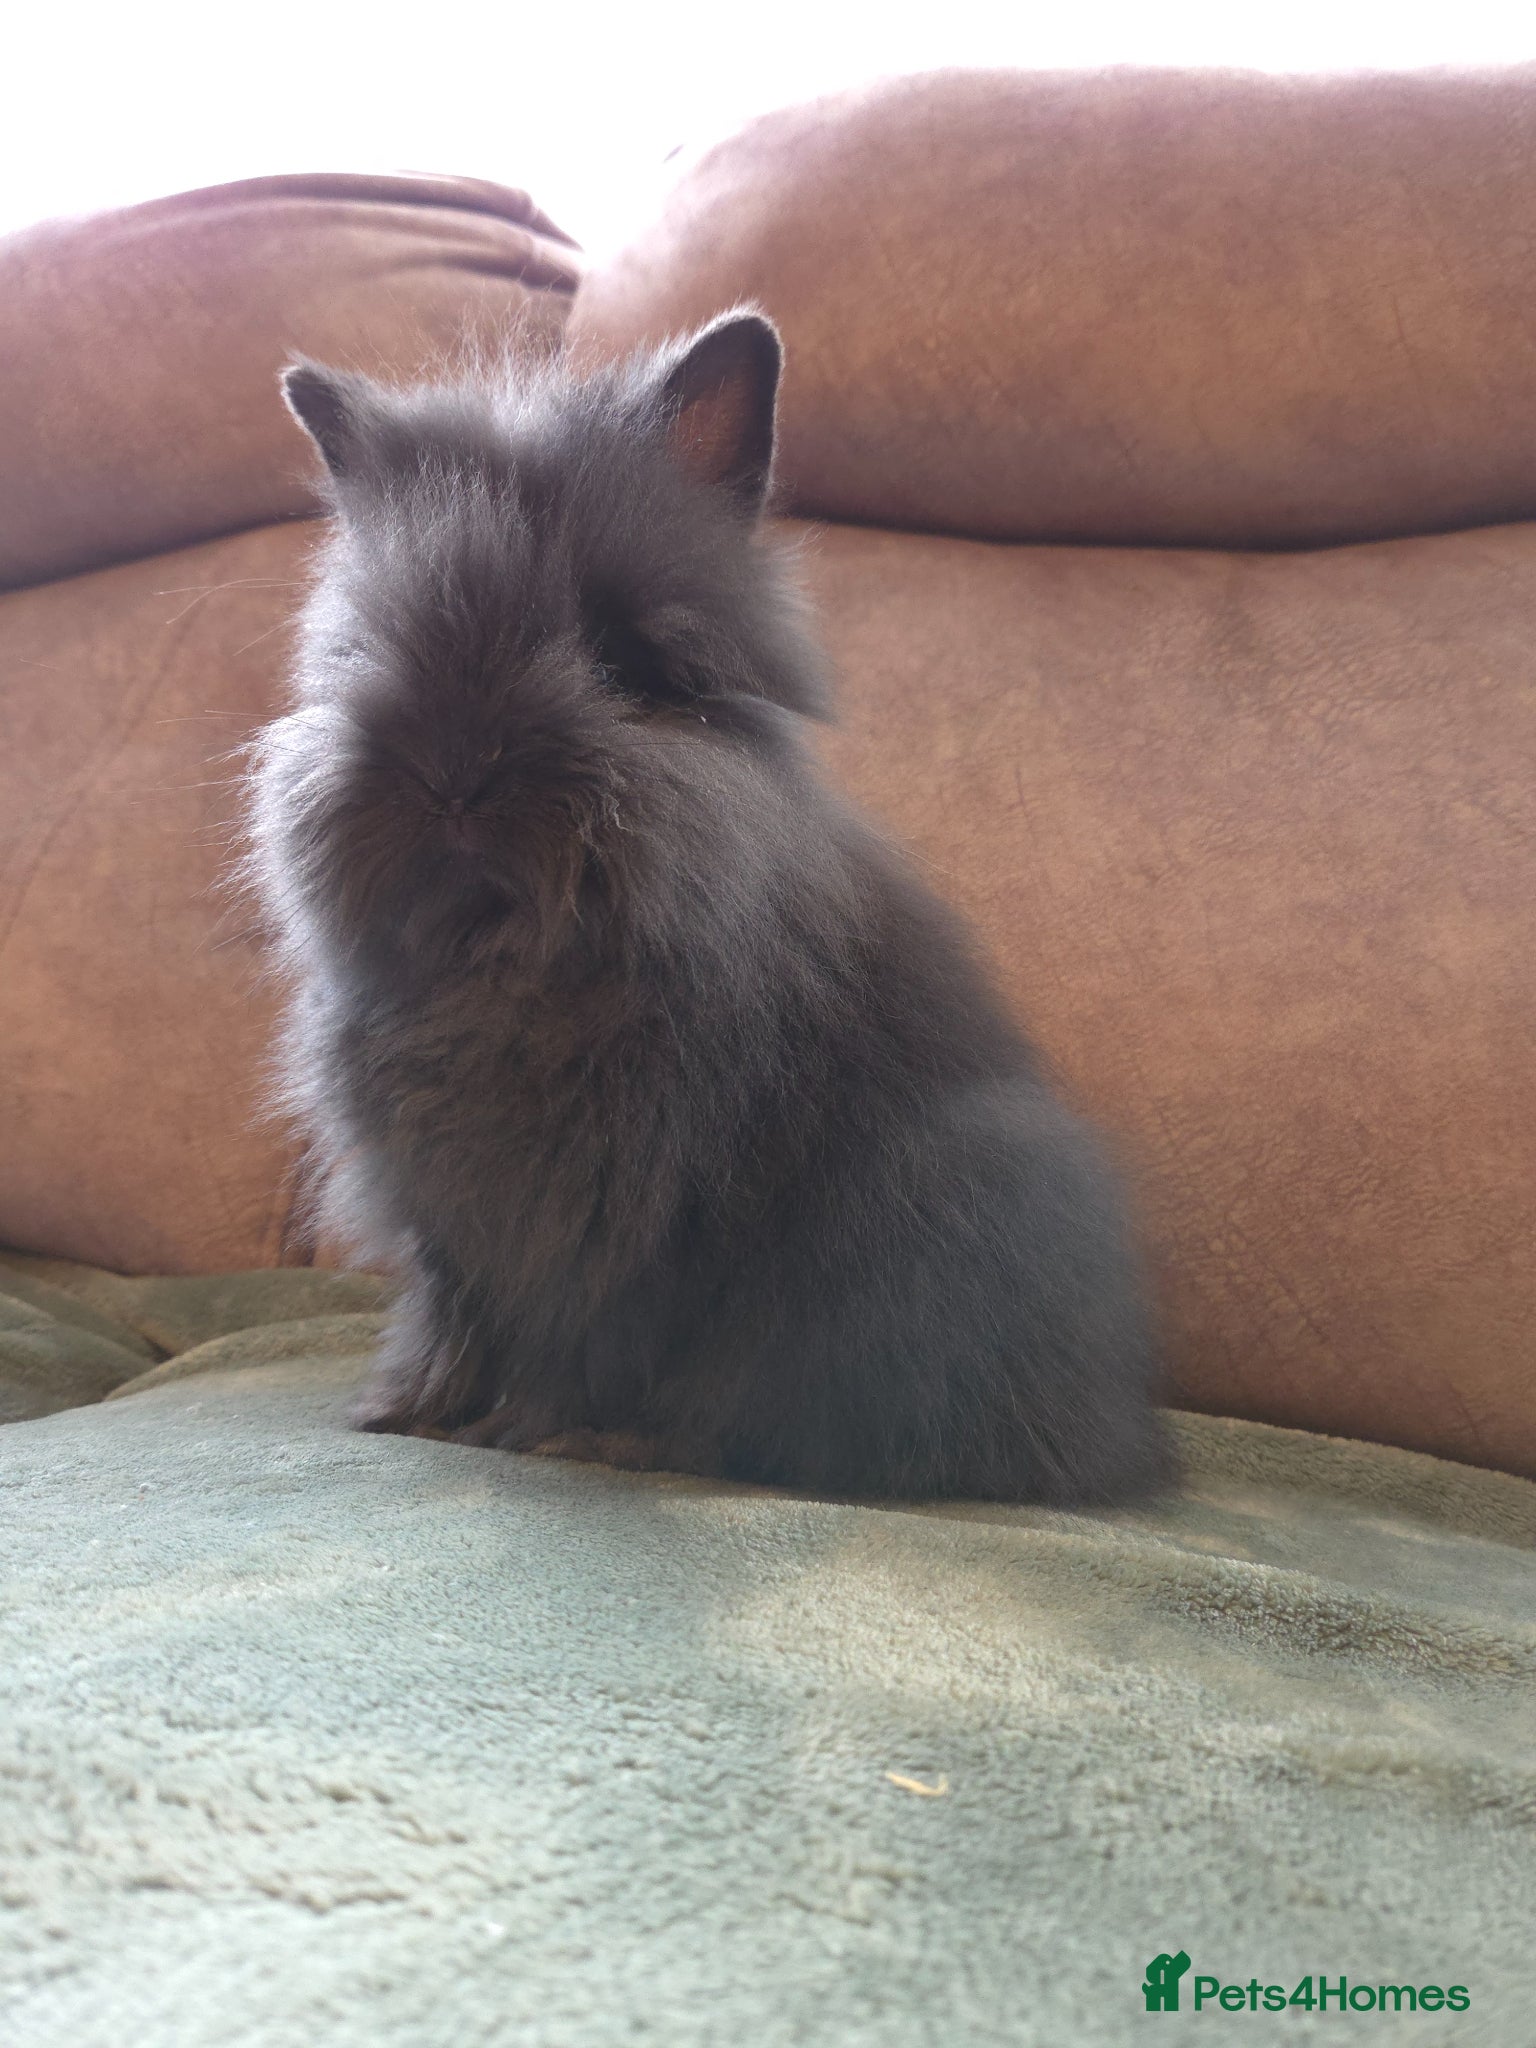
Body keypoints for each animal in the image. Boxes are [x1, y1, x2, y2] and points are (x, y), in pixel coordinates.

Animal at [247, 310, 1171, 1503]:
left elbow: (601, 1344)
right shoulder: (451, 1218)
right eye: (369, 648)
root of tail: (1120, 1433)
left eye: (616, 660)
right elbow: (456, 1317)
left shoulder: (635, 1223)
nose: (453, 773)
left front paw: (563, 1435)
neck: (513, 960)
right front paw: (408, 1412)